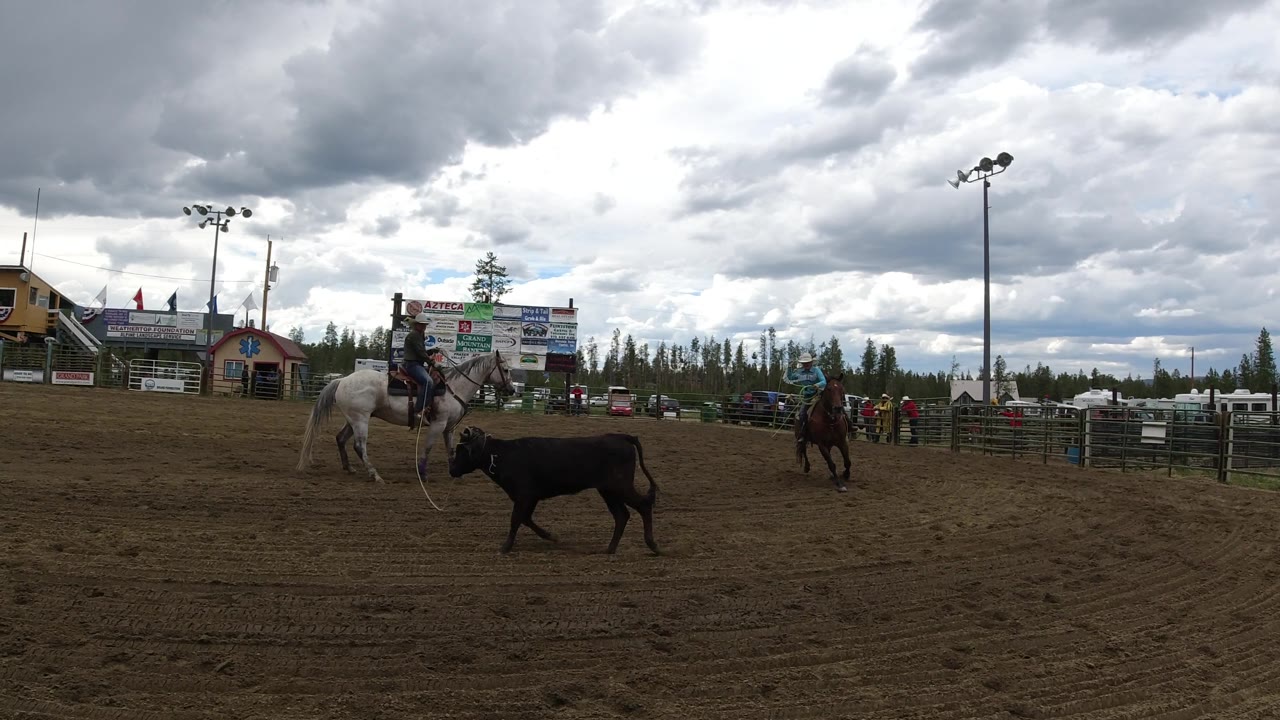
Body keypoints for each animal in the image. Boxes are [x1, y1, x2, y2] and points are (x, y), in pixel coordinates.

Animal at [296, 350, 517, 483]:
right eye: (506, 369)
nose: (512, 390)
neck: (453, 387)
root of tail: (342, 380)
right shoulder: (438, 424)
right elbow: (427, 447)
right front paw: (423, 473)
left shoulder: (449, 427)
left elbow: (451, 449)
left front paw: (456, 473)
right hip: (360, 420)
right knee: (359, 446)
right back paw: (375, 475)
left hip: (353, 419)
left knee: (340, 439)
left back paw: (349, 468)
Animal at [447, 426, 661, 556]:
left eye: (461, 450)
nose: (452, 469)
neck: (501, 455)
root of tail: (622, 437)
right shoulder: (530, 497)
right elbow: (526, 519)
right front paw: (551, 536)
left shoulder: (524, 495)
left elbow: (516, 519)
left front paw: (505, 547)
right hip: (608, 491)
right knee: (621, 515)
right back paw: (610, 549)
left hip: (620, 486)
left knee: (643, 505)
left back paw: (652, 545)